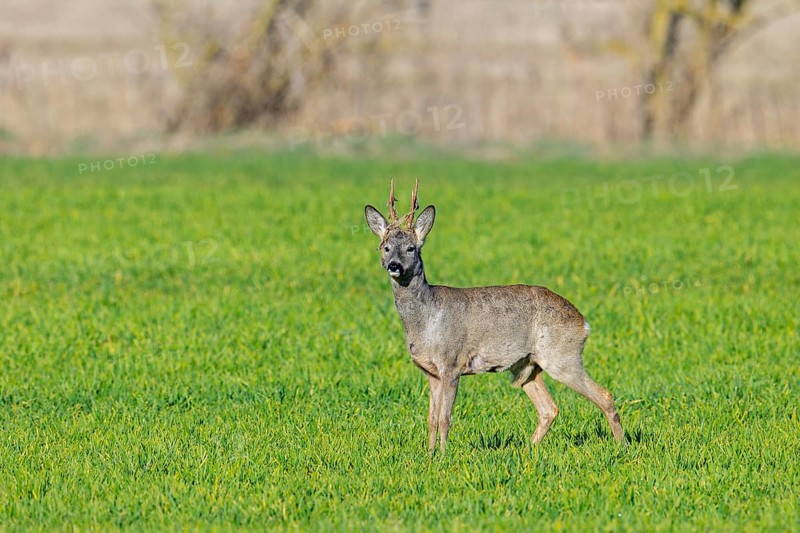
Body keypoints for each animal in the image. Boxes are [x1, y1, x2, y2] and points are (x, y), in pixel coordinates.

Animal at [364, 179, 625, 452]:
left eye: (411, 248)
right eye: (385, 247)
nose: (394, 265)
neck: (426, 319)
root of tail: (583, 322)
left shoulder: (452, 363)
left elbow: (446, 417)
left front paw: (444, 455)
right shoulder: (430, 372)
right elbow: (431, 418)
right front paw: (430, 453)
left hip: (562, 357)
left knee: (604, 395)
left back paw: (622, 447)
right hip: (527, 365)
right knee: (549, 409)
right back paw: (528, 450)